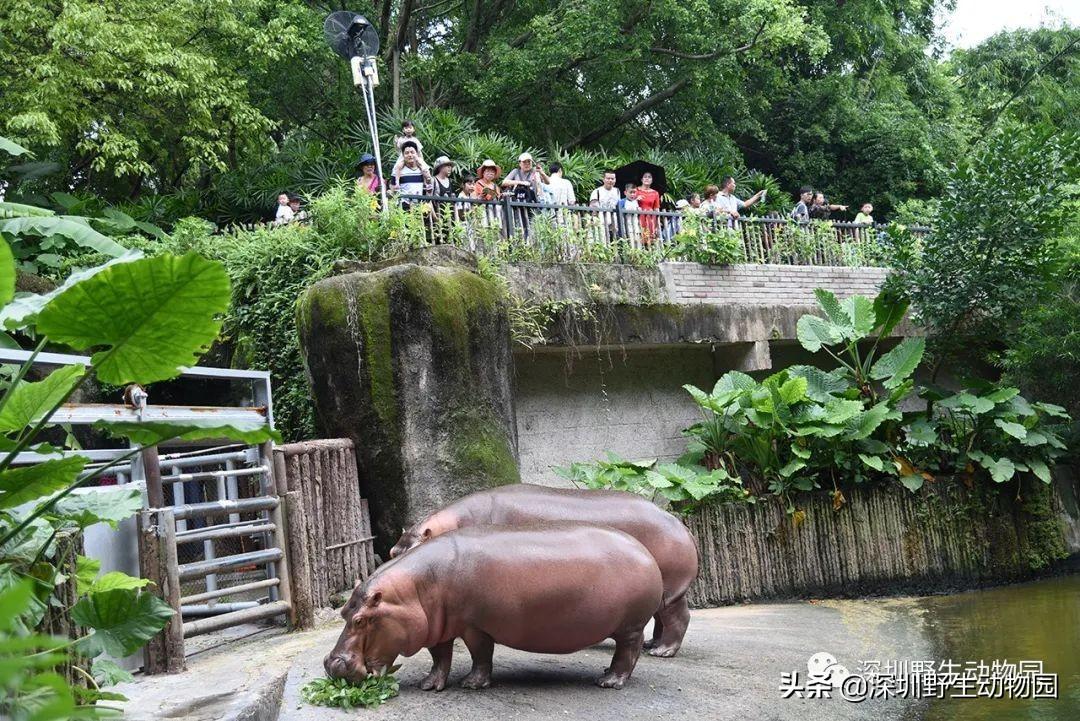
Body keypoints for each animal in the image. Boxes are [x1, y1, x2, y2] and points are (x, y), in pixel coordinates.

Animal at [321, 524, 656, 686]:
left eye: (361, 620)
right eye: (344, 612)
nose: (331, 664)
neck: (414, 591)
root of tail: (645, 551)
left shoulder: (474, 627)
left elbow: (480, 655)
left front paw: (471, 684)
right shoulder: (437, 627)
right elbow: (439, 657)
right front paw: (430, 684)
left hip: (630, 626)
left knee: (628, 651)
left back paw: (609, 682)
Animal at [388, 481, 699, 656]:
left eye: (410, 549)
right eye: (393, 551)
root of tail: (678, 522)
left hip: (670, 591)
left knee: (678, 618)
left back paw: (662, 652)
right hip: (666, 590)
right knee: (662, 618)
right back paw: (652, 646)